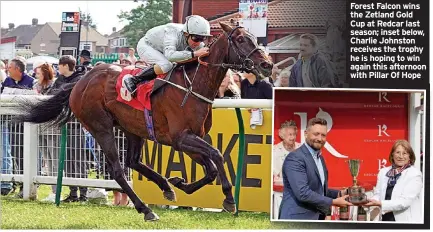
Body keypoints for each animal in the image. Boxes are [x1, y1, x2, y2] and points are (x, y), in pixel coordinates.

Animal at [15, 23, 272, 221]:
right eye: (241, 39)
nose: (267, 64)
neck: (193, 86)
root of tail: (80, 81)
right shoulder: (182, 138)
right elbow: (217, 156)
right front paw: (229, 198)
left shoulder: (189, 139)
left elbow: (210, 170)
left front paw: (179, 183)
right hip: (101, 127)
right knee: (118, 170)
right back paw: (146, 209)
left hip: (132, 129)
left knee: (133, 161)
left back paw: (165, 187)